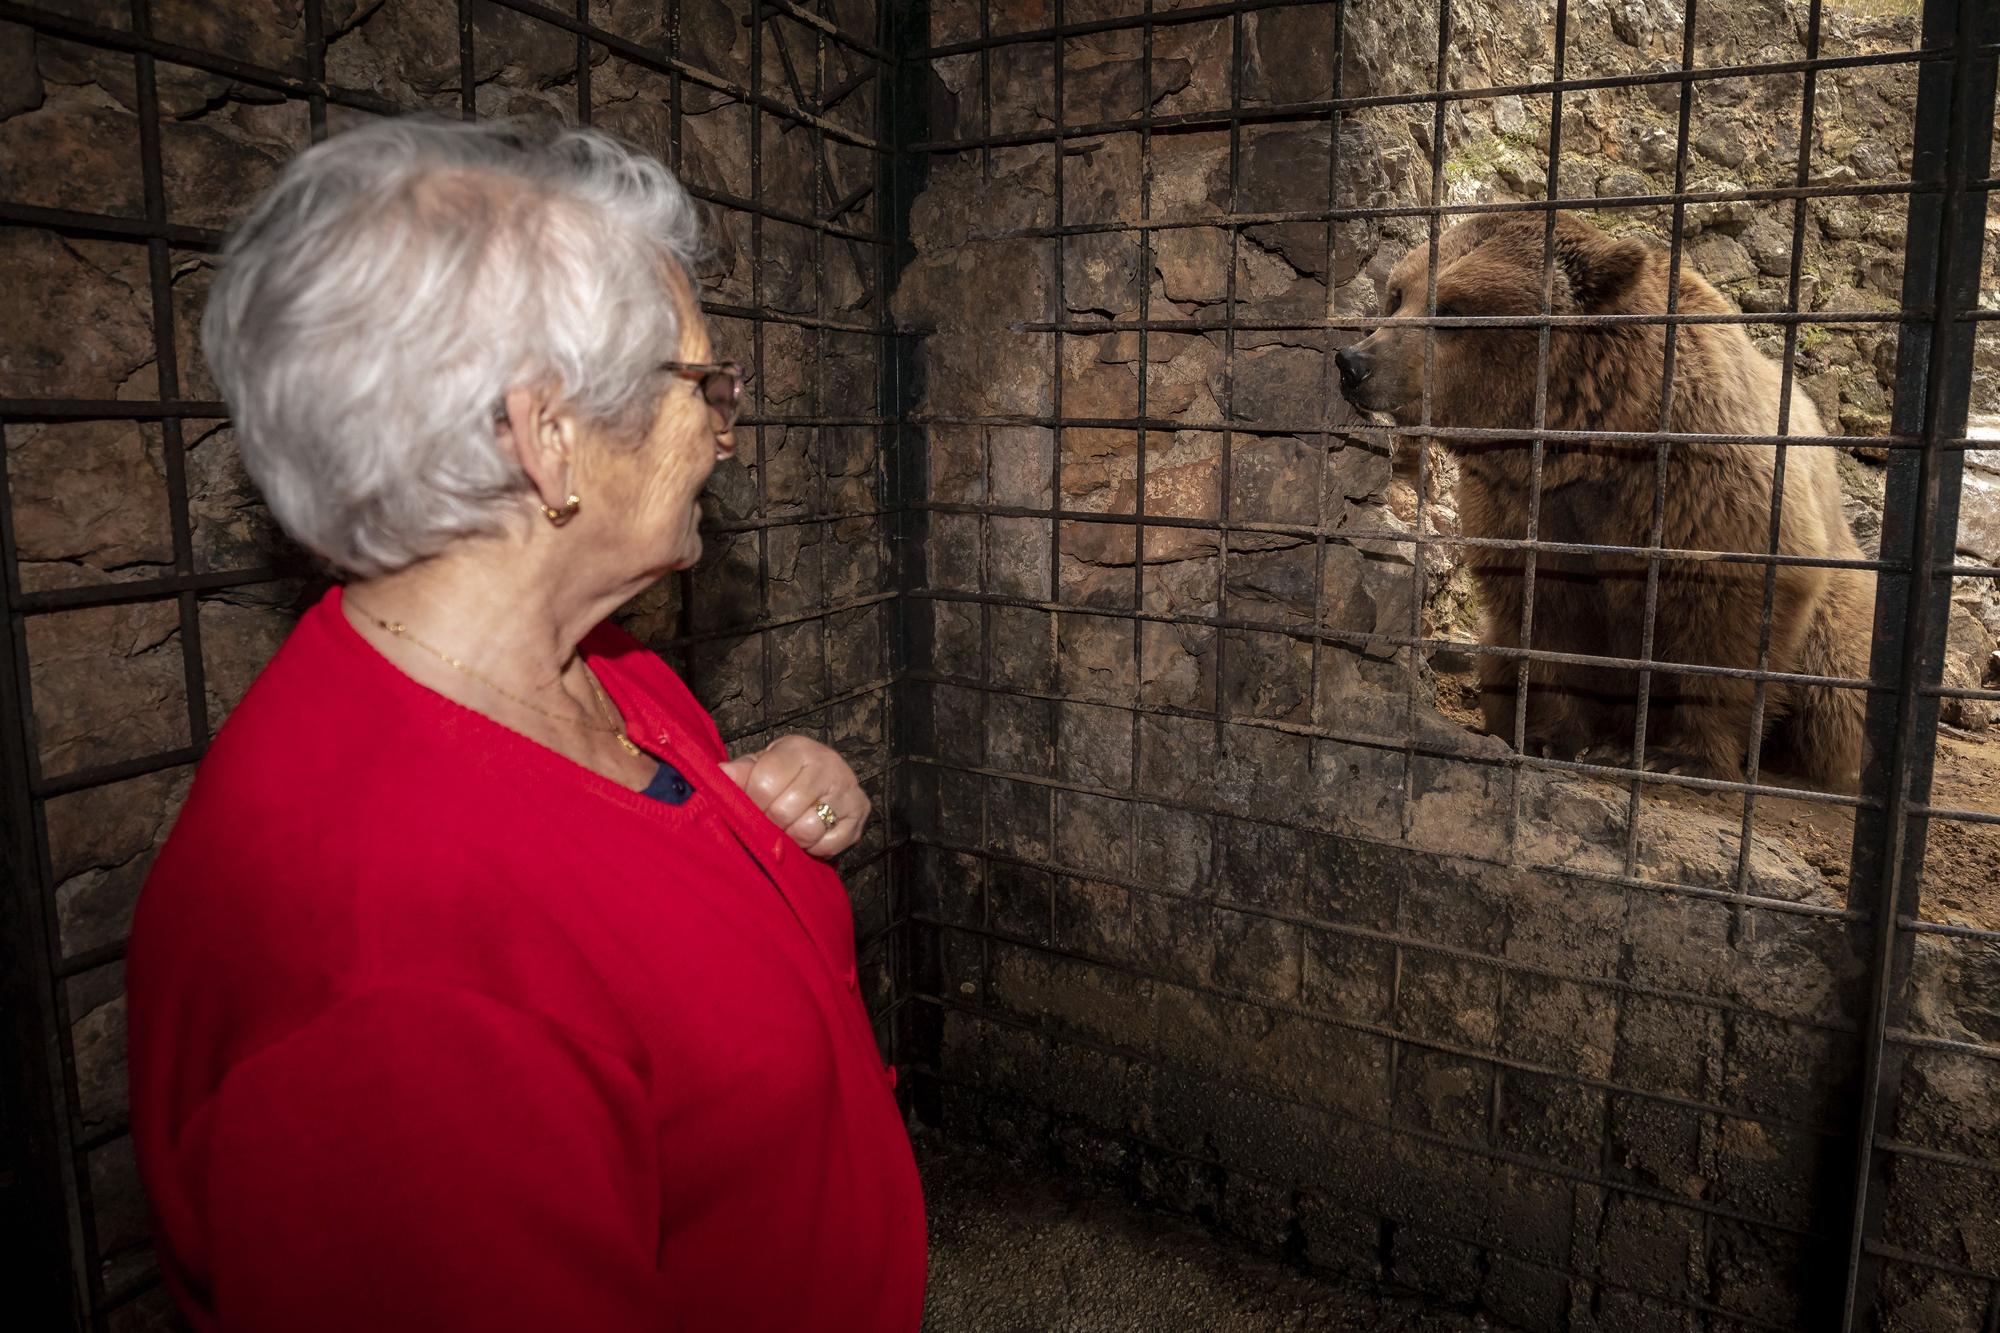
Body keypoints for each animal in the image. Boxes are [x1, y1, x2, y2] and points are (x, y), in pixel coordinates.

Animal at [1336, 211, 1880, 784]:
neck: (1589, 446)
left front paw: (1681, 754)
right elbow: (1544, 617)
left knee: (1832, 692)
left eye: (1453, 309)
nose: (1355, 361)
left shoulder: (1707, 489)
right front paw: (1550, 736)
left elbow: (1728, 617)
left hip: (1840, 610)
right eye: (1398, 296)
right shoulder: (1524, 507)